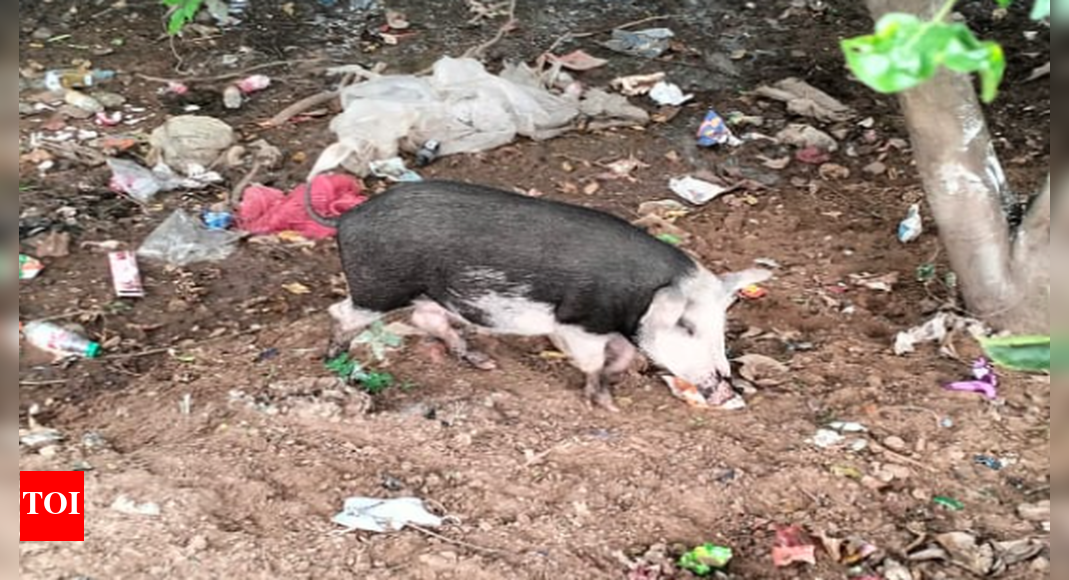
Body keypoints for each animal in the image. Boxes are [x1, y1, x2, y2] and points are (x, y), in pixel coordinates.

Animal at [305, 180, 771, 411]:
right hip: (377, 287)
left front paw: (615, 383)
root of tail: (348, 217)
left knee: (426, 319)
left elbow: (621, 355)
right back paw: (337, 364)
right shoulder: (576, 321)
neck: (634, 300)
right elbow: (592, 360)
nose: (727, 387)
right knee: (340, 311)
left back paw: (483, 362)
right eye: (686, 327)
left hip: (427, 293)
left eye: (721, 324)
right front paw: (606, 405)